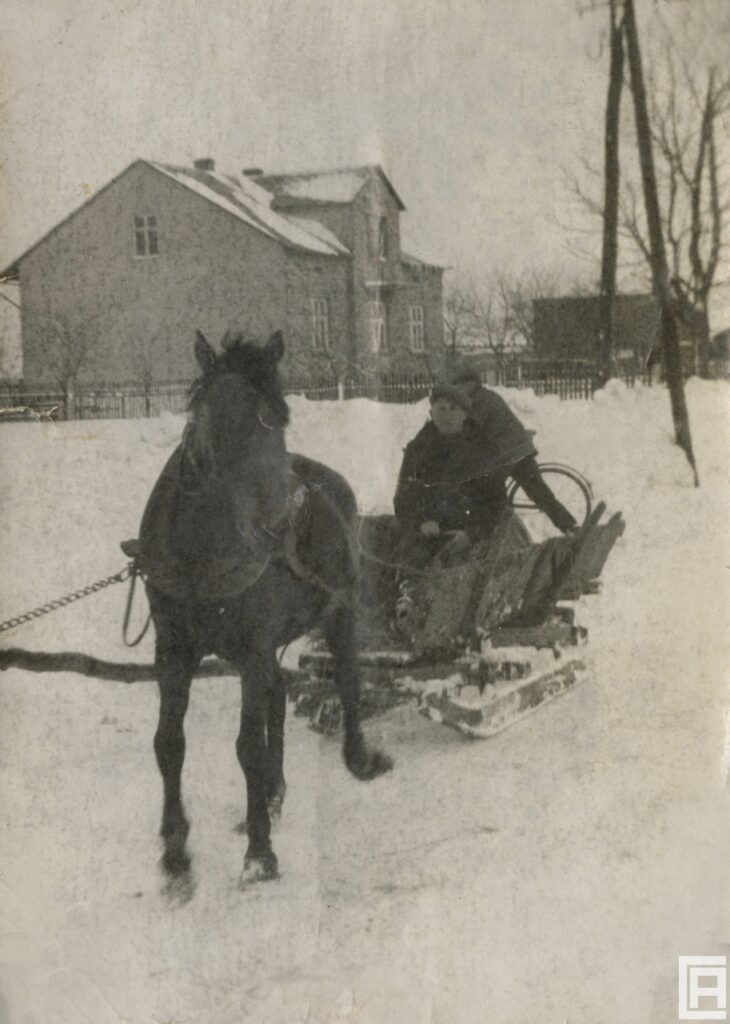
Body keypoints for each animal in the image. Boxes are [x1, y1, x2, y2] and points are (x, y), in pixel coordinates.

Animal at [134, 329, 391, 888]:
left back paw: (356, 757)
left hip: (341, 609)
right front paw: (176, 849)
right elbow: (168, 742)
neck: (200, 551)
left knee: (347, 678)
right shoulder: (174, 649)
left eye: (279, 416)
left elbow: (246, 746)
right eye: (218, 415)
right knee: (277, 694)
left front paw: (259, 852)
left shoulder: (252, 648)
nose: (287, 520)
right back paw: (273, 792)